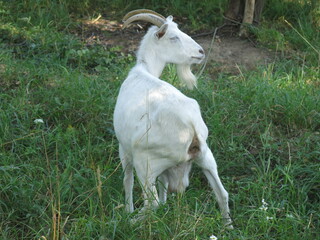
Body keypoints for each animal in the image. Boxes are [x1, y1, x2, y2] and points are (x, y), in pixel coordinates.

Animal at [114, 8, 232, 228]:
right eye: (174, 36)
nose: (201, 52)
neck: (143, 70)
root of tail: (191, 126)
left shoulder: (124, 149)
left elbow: (127, 180)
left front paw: (127, 209)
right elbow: (163, 183)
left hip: (146, 163)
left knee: (150, 203)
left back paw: (129, 222)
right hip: (206, 155)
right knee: (222, 193)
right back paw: (228, 227)